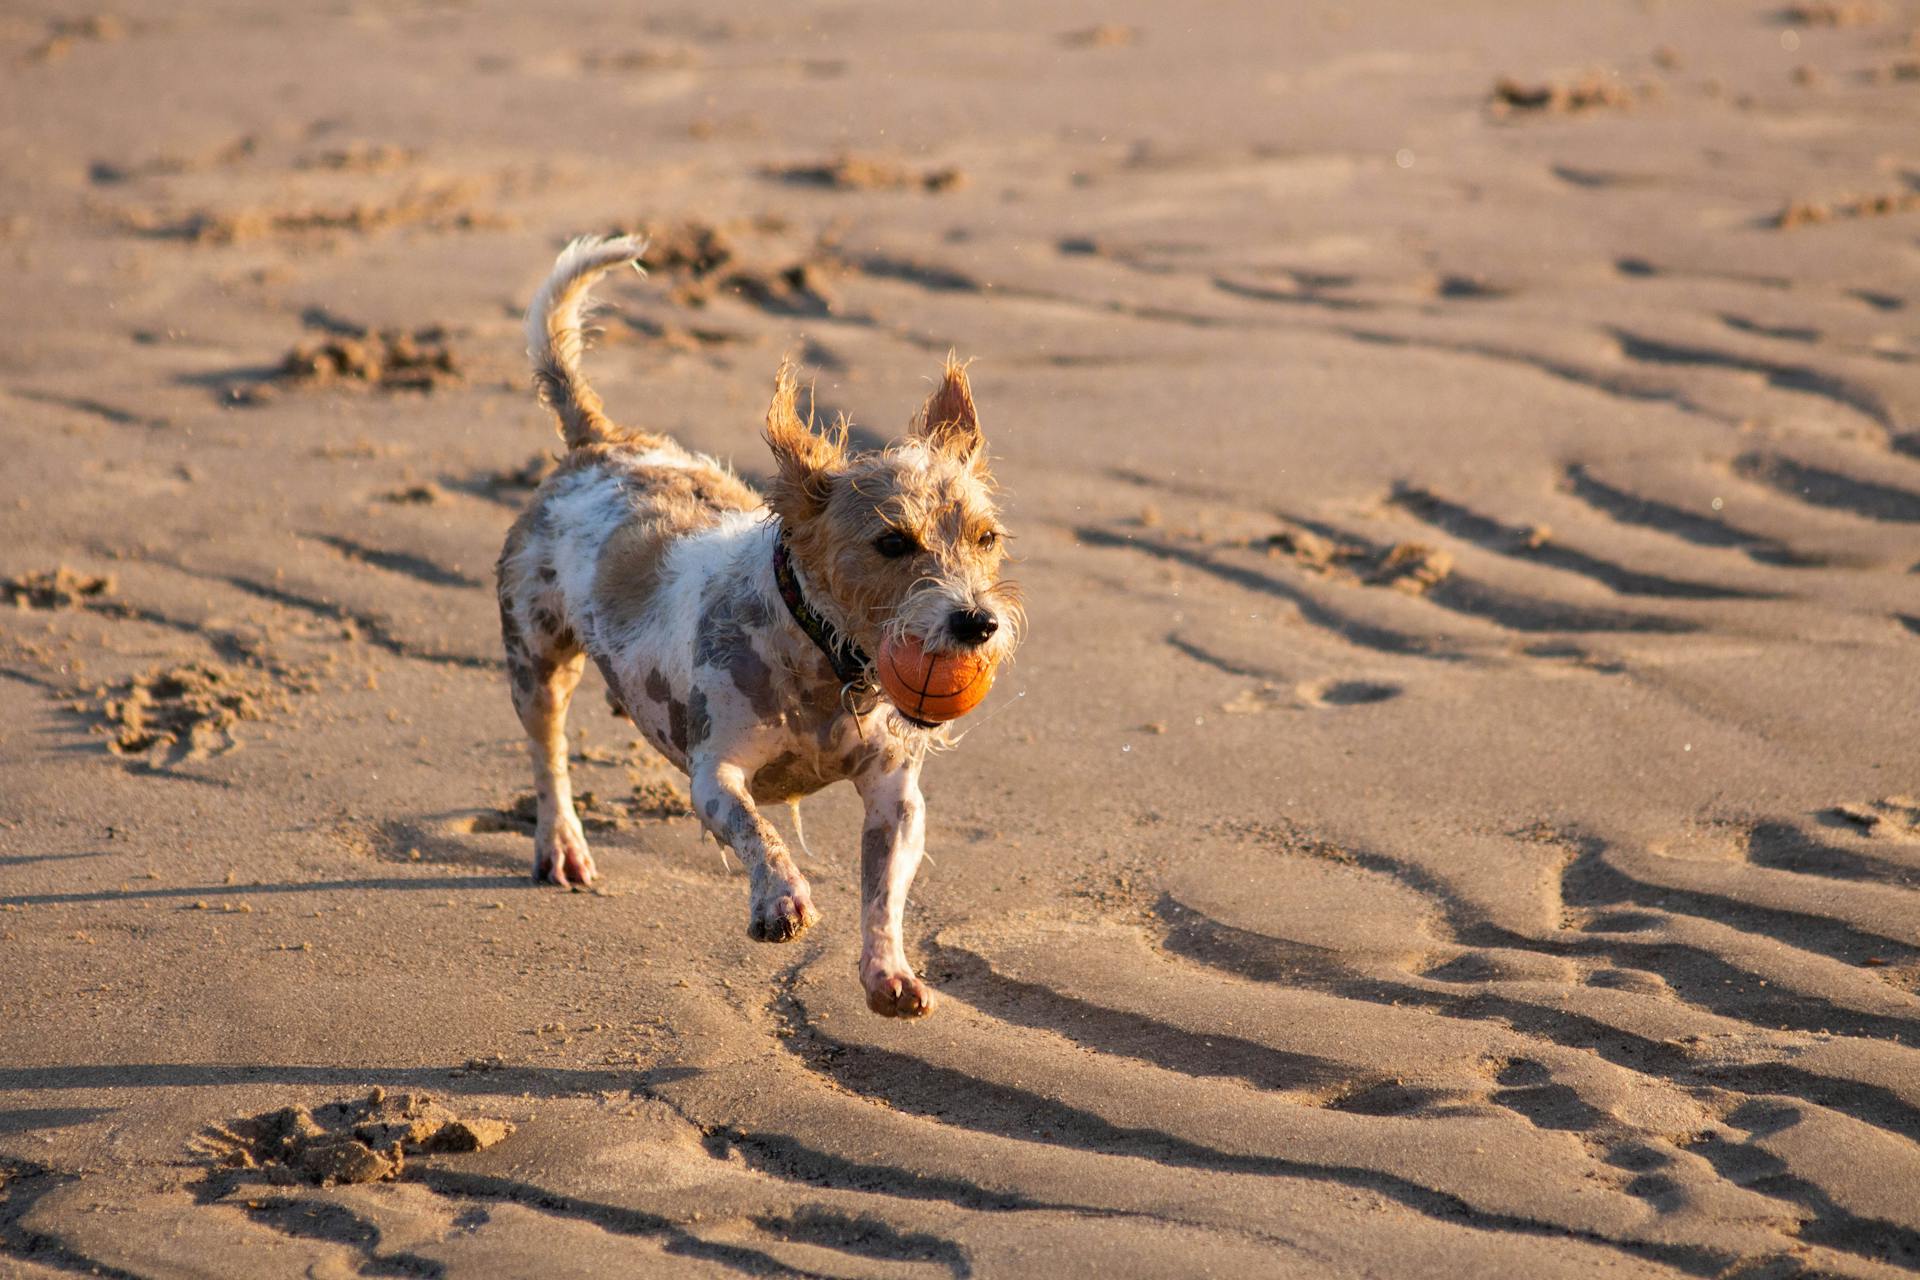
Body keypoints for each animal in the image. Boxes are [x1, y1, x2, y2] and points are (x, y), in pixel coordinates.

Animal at [495, 237, 1021, 1020]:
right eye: (892, 542)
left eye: (986, 538)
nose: (977, 622)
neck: (824, 660)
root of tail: (601, 443)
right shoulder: (714, 773)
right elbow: (755, 827)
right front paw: (782, 899)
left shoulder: (895, 797)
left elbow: (884, 891)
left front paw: (887, 970)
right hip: (534, 655)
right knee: (547, 752)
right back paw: (560, 842)